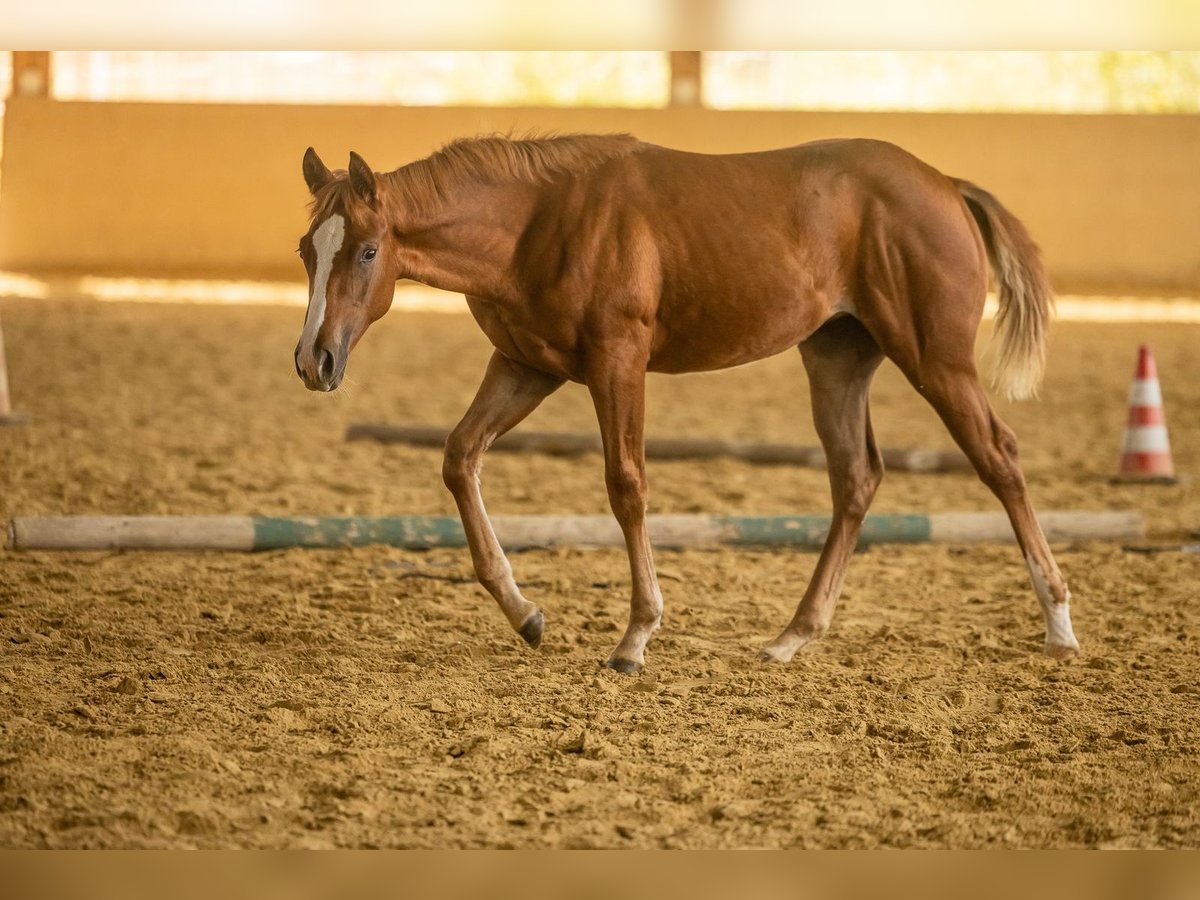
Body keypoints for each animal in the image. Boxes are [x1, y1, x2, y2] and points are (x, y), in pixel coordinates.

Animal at [293, 133, 1080, 674]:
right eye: (307, 250)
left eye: (366, 251)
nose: (314, 361)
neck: (539, 223)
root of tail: (944, 184)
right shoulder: (527, 367)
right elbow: (460, 458)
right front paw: (525, 613)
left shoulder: (618, 364)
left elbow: (627, 486)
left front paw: (635, 636)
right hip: (837, 363)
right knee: (856, 479)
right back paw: (792, 636)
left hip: (937, 361)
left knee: (999, 457)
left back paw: (1059, 624)